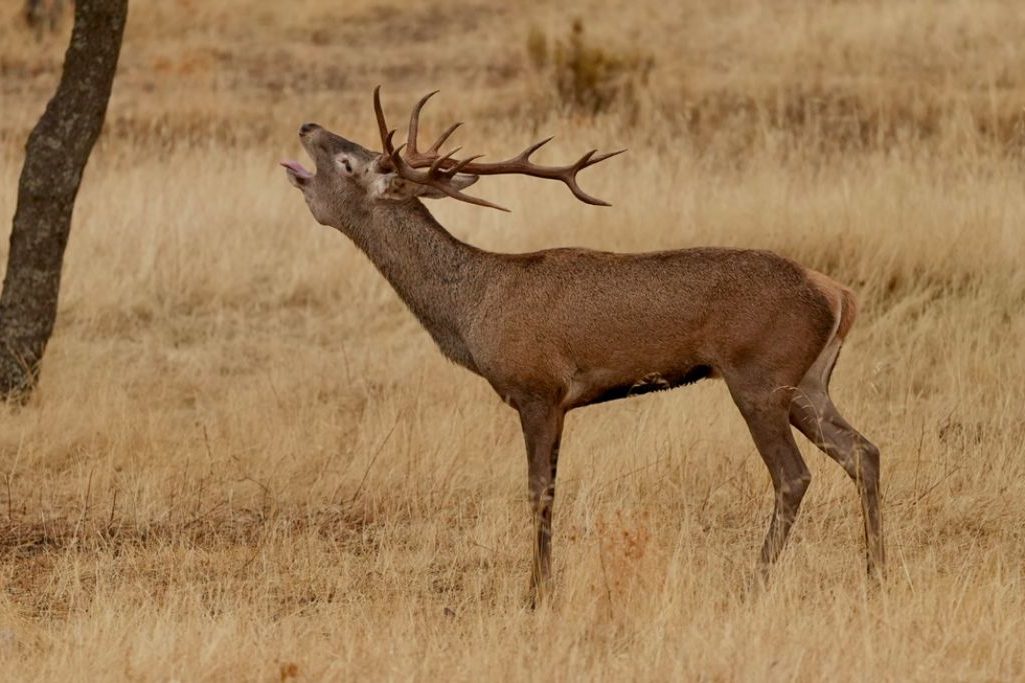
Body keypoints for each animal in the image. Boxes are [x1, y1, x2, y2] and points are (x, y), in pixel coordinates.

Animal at [281, 87, 884, 605]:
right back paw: (876, 571)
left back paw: (755, 581)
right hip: (807, 383)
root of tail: (839, 294)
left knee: (794, 475)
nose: (307, 125)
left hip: (759, 374)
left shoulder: (537, 389)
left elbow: (539, 492)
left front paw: (536, 593)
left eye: (348, 162)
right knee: (864, 450)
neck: (473, 310)